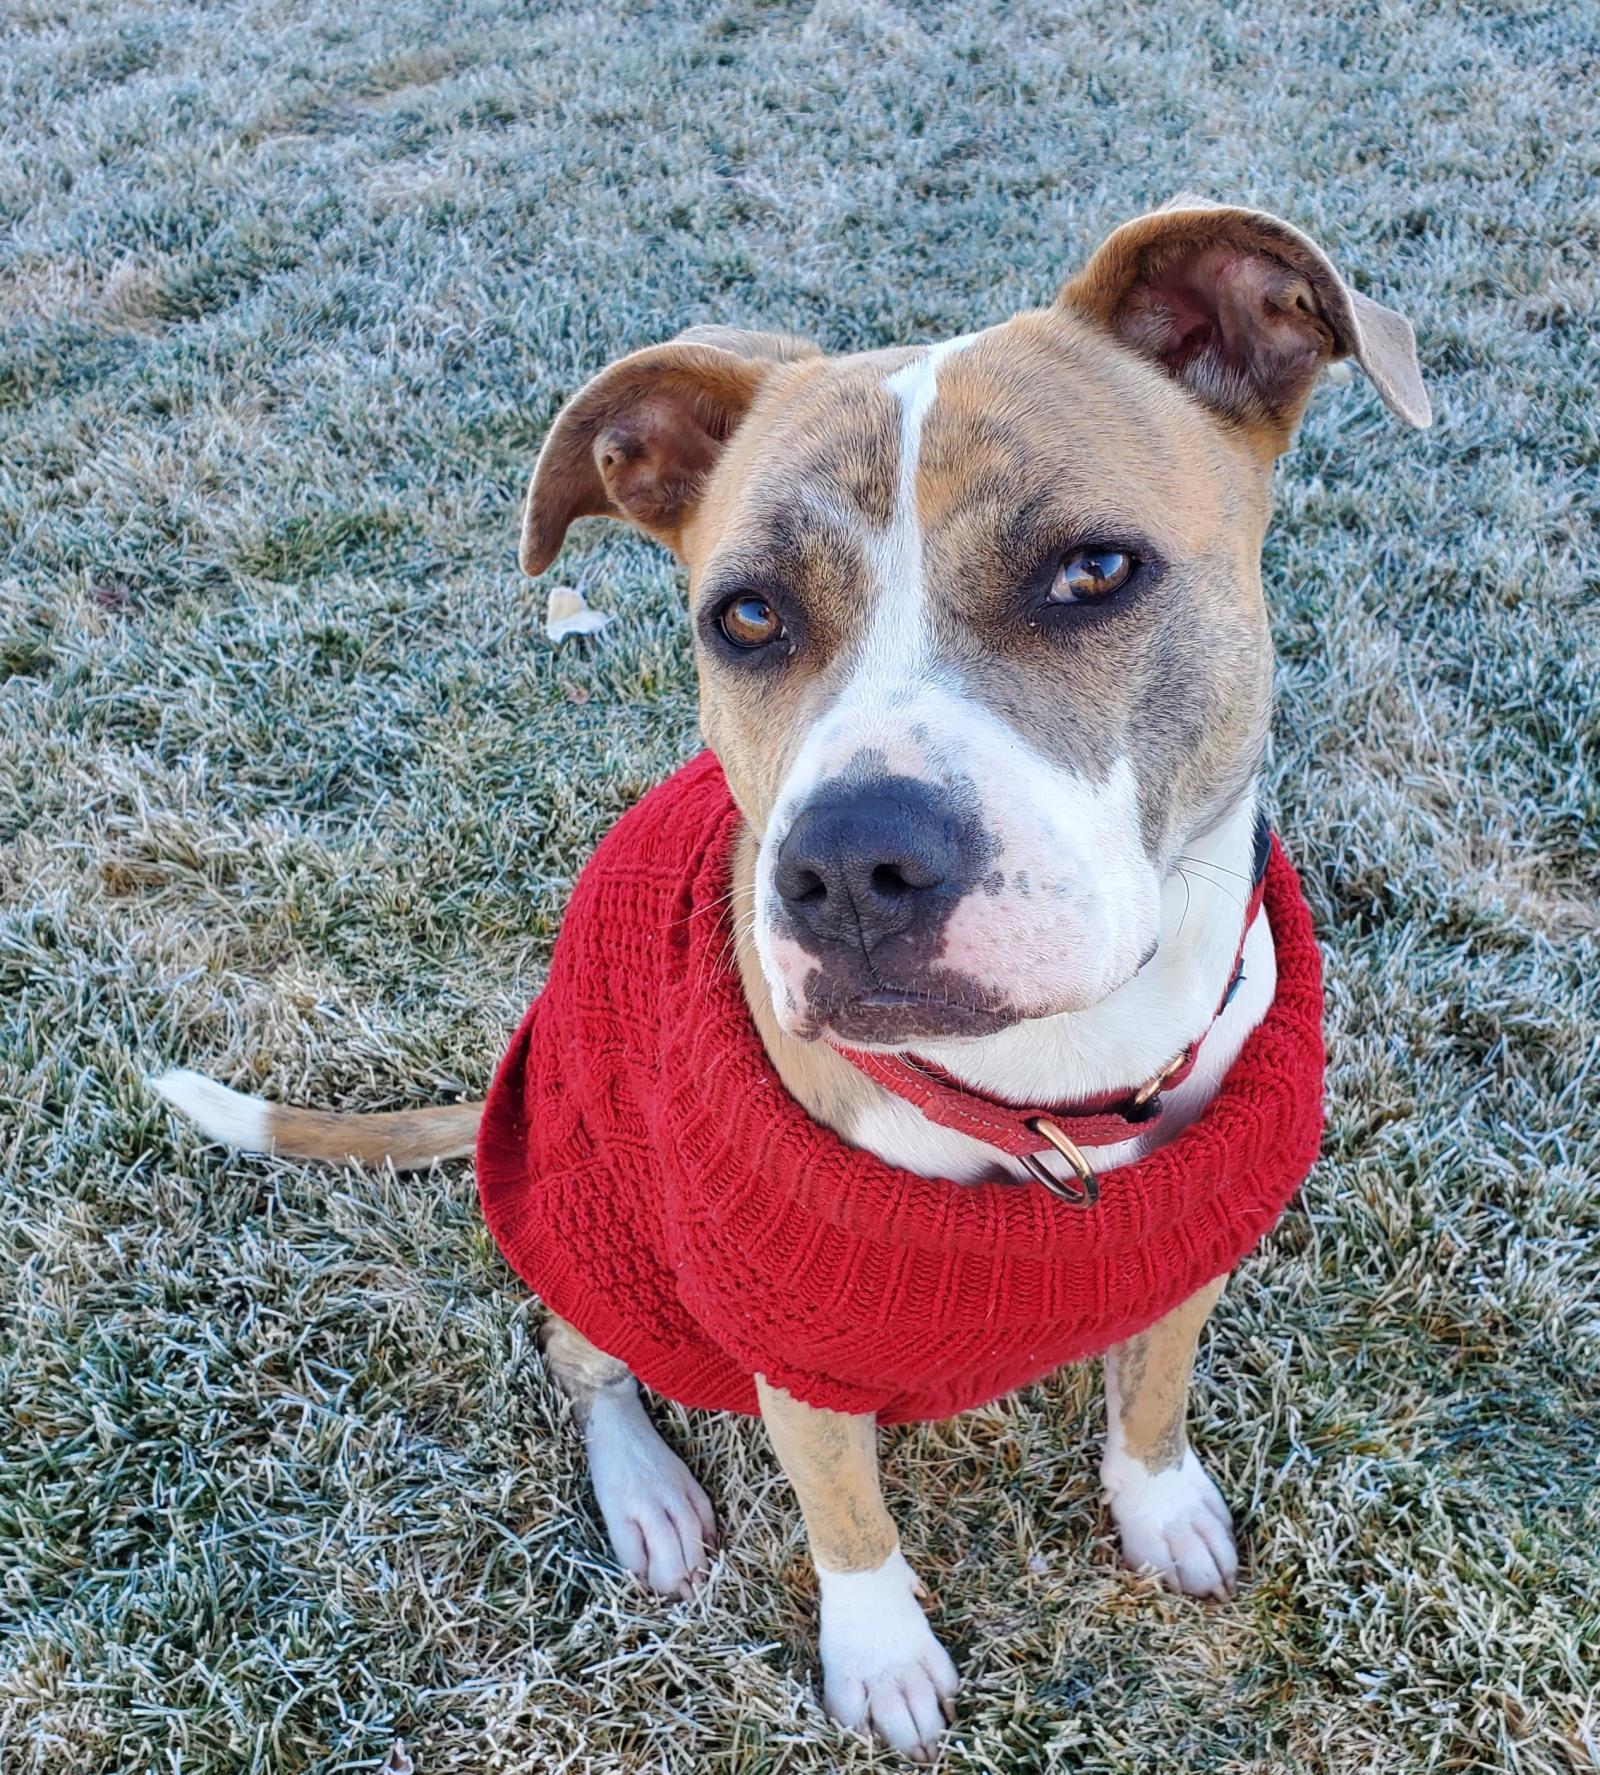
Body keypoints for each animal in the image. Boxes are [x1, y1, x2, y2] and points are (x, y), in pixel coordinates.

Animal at [150, 201, 1420, 1753]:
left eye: (1093, 572)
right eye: (746, 617)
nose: (850, 865)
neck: (1043, 1096)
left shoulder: (1190, 1245)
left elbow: (1154, 1397)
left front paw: (1160, 1503)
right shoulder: (787, 1339)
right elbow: (845, 1512)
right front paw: (881, 1656)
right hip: (591, 1226)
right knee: (580, 1358)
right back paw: (646, 1493)